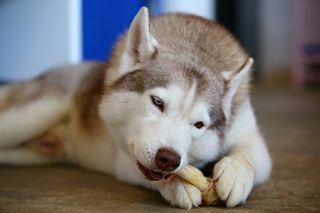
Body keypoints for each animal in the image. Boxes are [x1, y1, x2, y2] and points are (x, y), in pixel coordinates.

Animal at [0, 7, 272, 210]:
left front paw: (235, 175)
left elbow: (248, 155)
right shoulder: (123, 158)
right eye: (158, 102)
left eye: (199, 125)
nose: (168, 159)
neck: (196, 48)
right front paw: (178, 185)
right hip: (29, 116)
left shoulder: (251, 136)